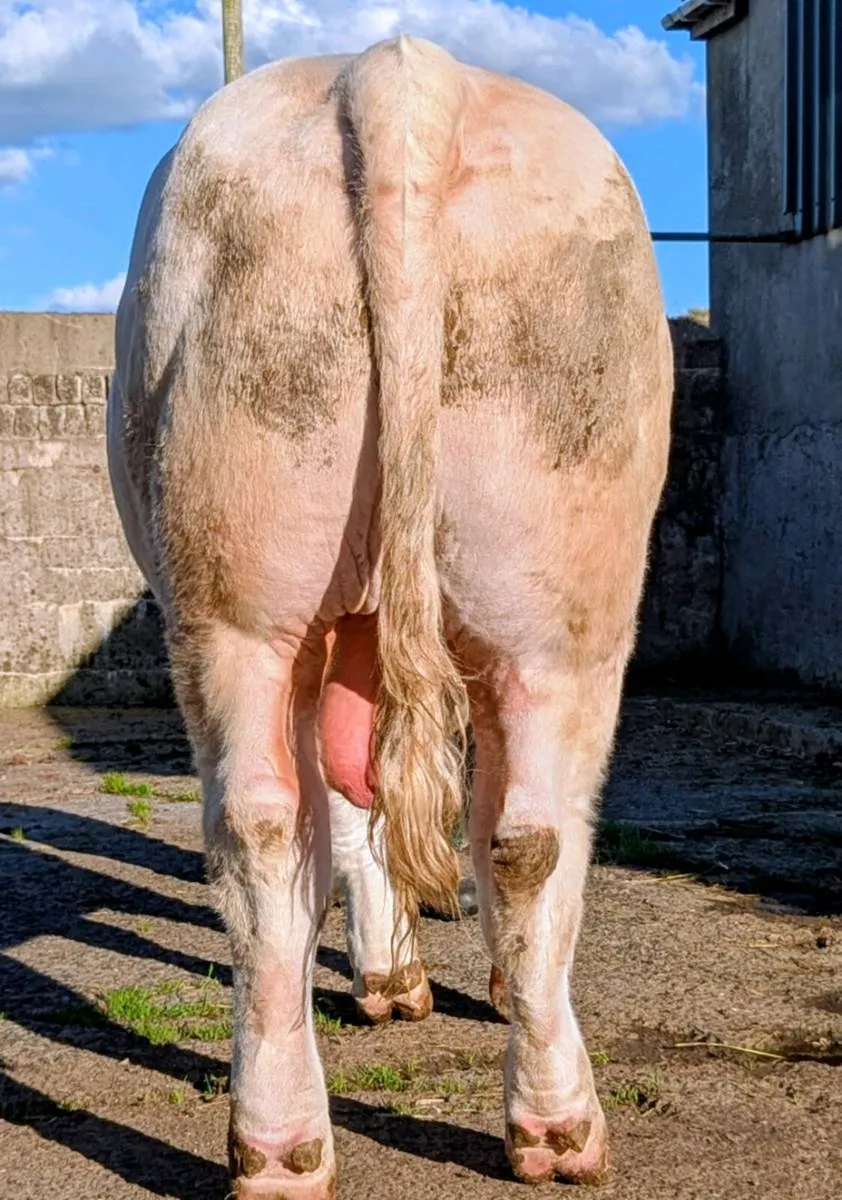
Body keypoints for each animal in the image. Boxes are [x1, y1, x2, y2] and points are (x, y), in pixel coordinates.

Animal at [108, 35, 672, 1197]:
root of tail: (396, 71)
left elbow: (354, 808)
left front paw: (391, 974)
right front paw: (409, 974)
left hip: (250, 580)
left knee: (274, 828)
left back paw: (285, 1147)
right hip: (566, 599)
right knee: (527, 831)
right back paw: (555, 1124)